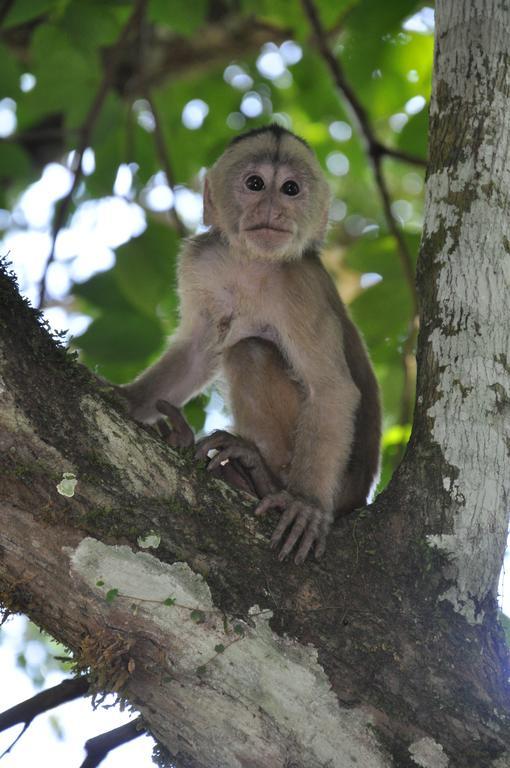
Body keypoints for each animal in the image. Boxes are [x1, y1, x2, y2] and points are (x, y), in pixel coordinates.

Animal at [121, 127, 380, 564]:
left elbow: (332, 390)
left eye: (290, 189)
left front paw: (306, 503)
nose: (272, 209)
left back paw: (262, 476)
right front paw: (126, 398)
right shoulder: (202, 260)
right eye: (255, 184)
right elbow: (196, 352)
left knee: (251, 350)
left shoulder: (299, 287)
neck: (253, 263)